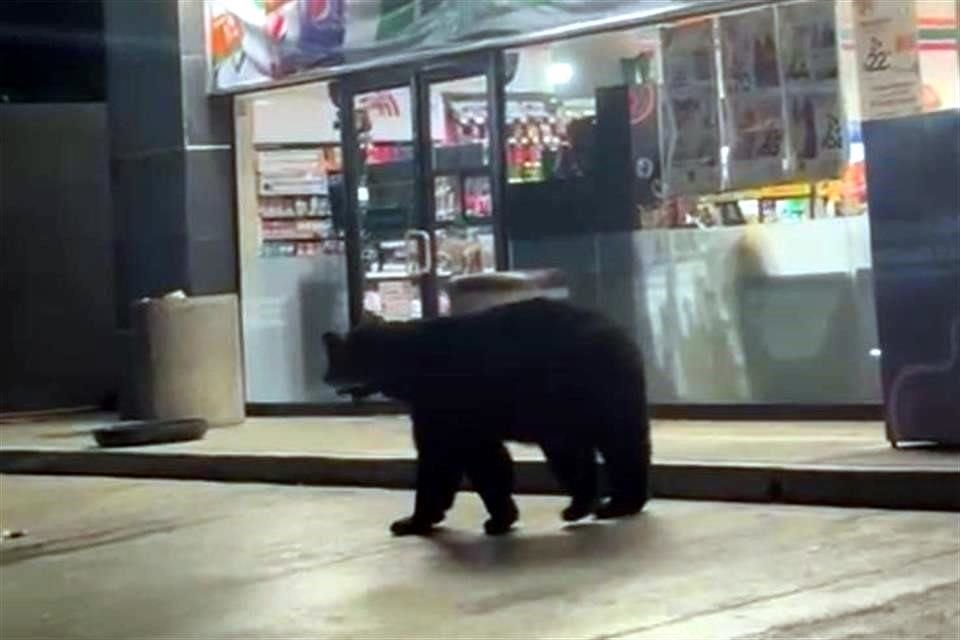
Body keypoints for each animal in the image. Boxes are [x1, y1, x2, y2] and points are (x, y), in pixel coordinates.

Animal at [324, 298, 652, 536]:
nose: (325, 376)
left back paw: (603, 504)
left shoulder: (446, 400)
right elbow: (470, 457)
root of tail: (621, 331)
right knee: (598, 449)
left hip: (585, 388)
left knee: (609, 444)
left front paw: (414, 520)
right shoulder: (445, 410)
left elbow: (451, 458)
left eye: (339, 356)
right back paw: (600, 504)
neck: (409, 366)